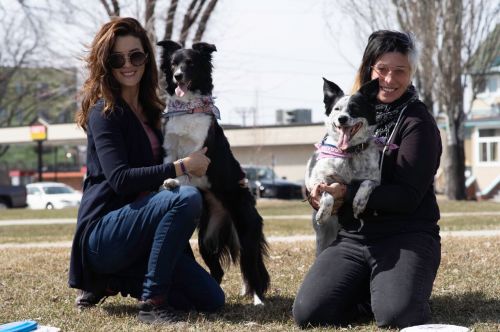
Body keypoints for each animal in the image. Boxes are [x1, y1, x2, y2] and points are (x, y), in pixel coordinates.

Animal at [159, 40, 272, 304]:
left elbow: (187, 168)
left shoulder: (200, 153)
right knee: (219, 271)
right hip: (206, 240)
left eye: (190, 63)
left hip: (246, 233)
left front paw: (176, 183)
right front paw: (168, 182)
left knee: (253, 271)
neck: (188, 107)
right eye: (173, 64)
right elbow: (173, 164)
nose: (178, 76)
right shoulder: (170, 147)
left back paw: (258, 300)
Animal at [304, 78, 382, 254]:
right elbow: (327, 194)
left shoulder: (375, 180)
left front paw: (359, 203)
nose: (342, 119)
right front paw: (324, 212)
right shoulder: (317, 180)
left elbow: (366, 184)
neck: (349, 152)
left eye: (355, 108)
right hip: (322, 238)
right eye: (337, 109)